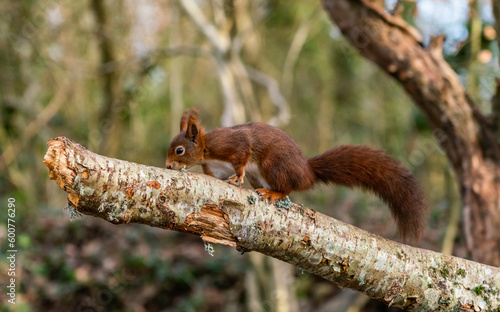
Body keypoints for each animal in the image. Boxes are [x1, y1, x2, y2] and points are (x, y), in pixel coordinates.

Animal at [166, 108, 428, 241]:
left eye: (179, 150)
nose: (167, 167)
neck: (206, 151)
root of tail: (306, 172)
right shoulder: (216, 167)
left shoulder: (231, 144)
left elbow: (242, 154)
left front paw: (238, 176)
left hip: (274, 164)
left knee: (288, 188)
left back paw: (274, 194)